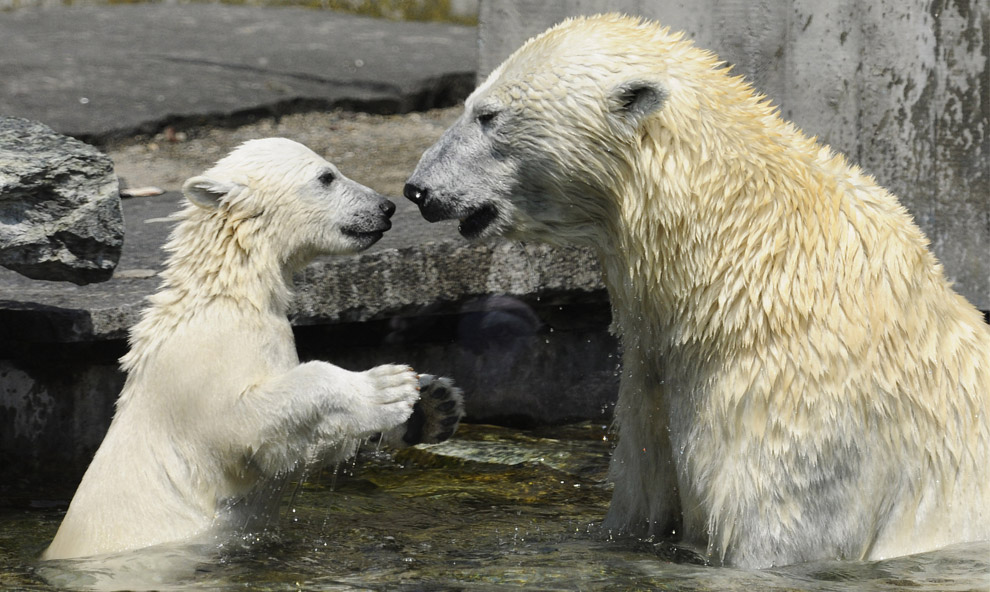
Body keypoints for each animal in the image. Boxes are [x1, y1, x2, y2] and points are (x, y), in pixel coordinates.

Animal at [43, 139, 464, 560]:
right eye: (326, 176)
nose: (386, 206)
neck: (231, 291)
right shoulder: (203, 368)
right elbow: (245, 425)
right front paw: (386, 388)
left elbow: (294, 452)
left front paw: (435, 405)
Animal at [404, 13, 990, 568]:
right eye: (469, 105)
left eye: (488, 116)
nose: (418, 189)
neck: (739, 264)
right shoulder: (652, 387)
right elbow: (636, 512)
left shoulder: (799, 411)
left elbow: (774, 533)